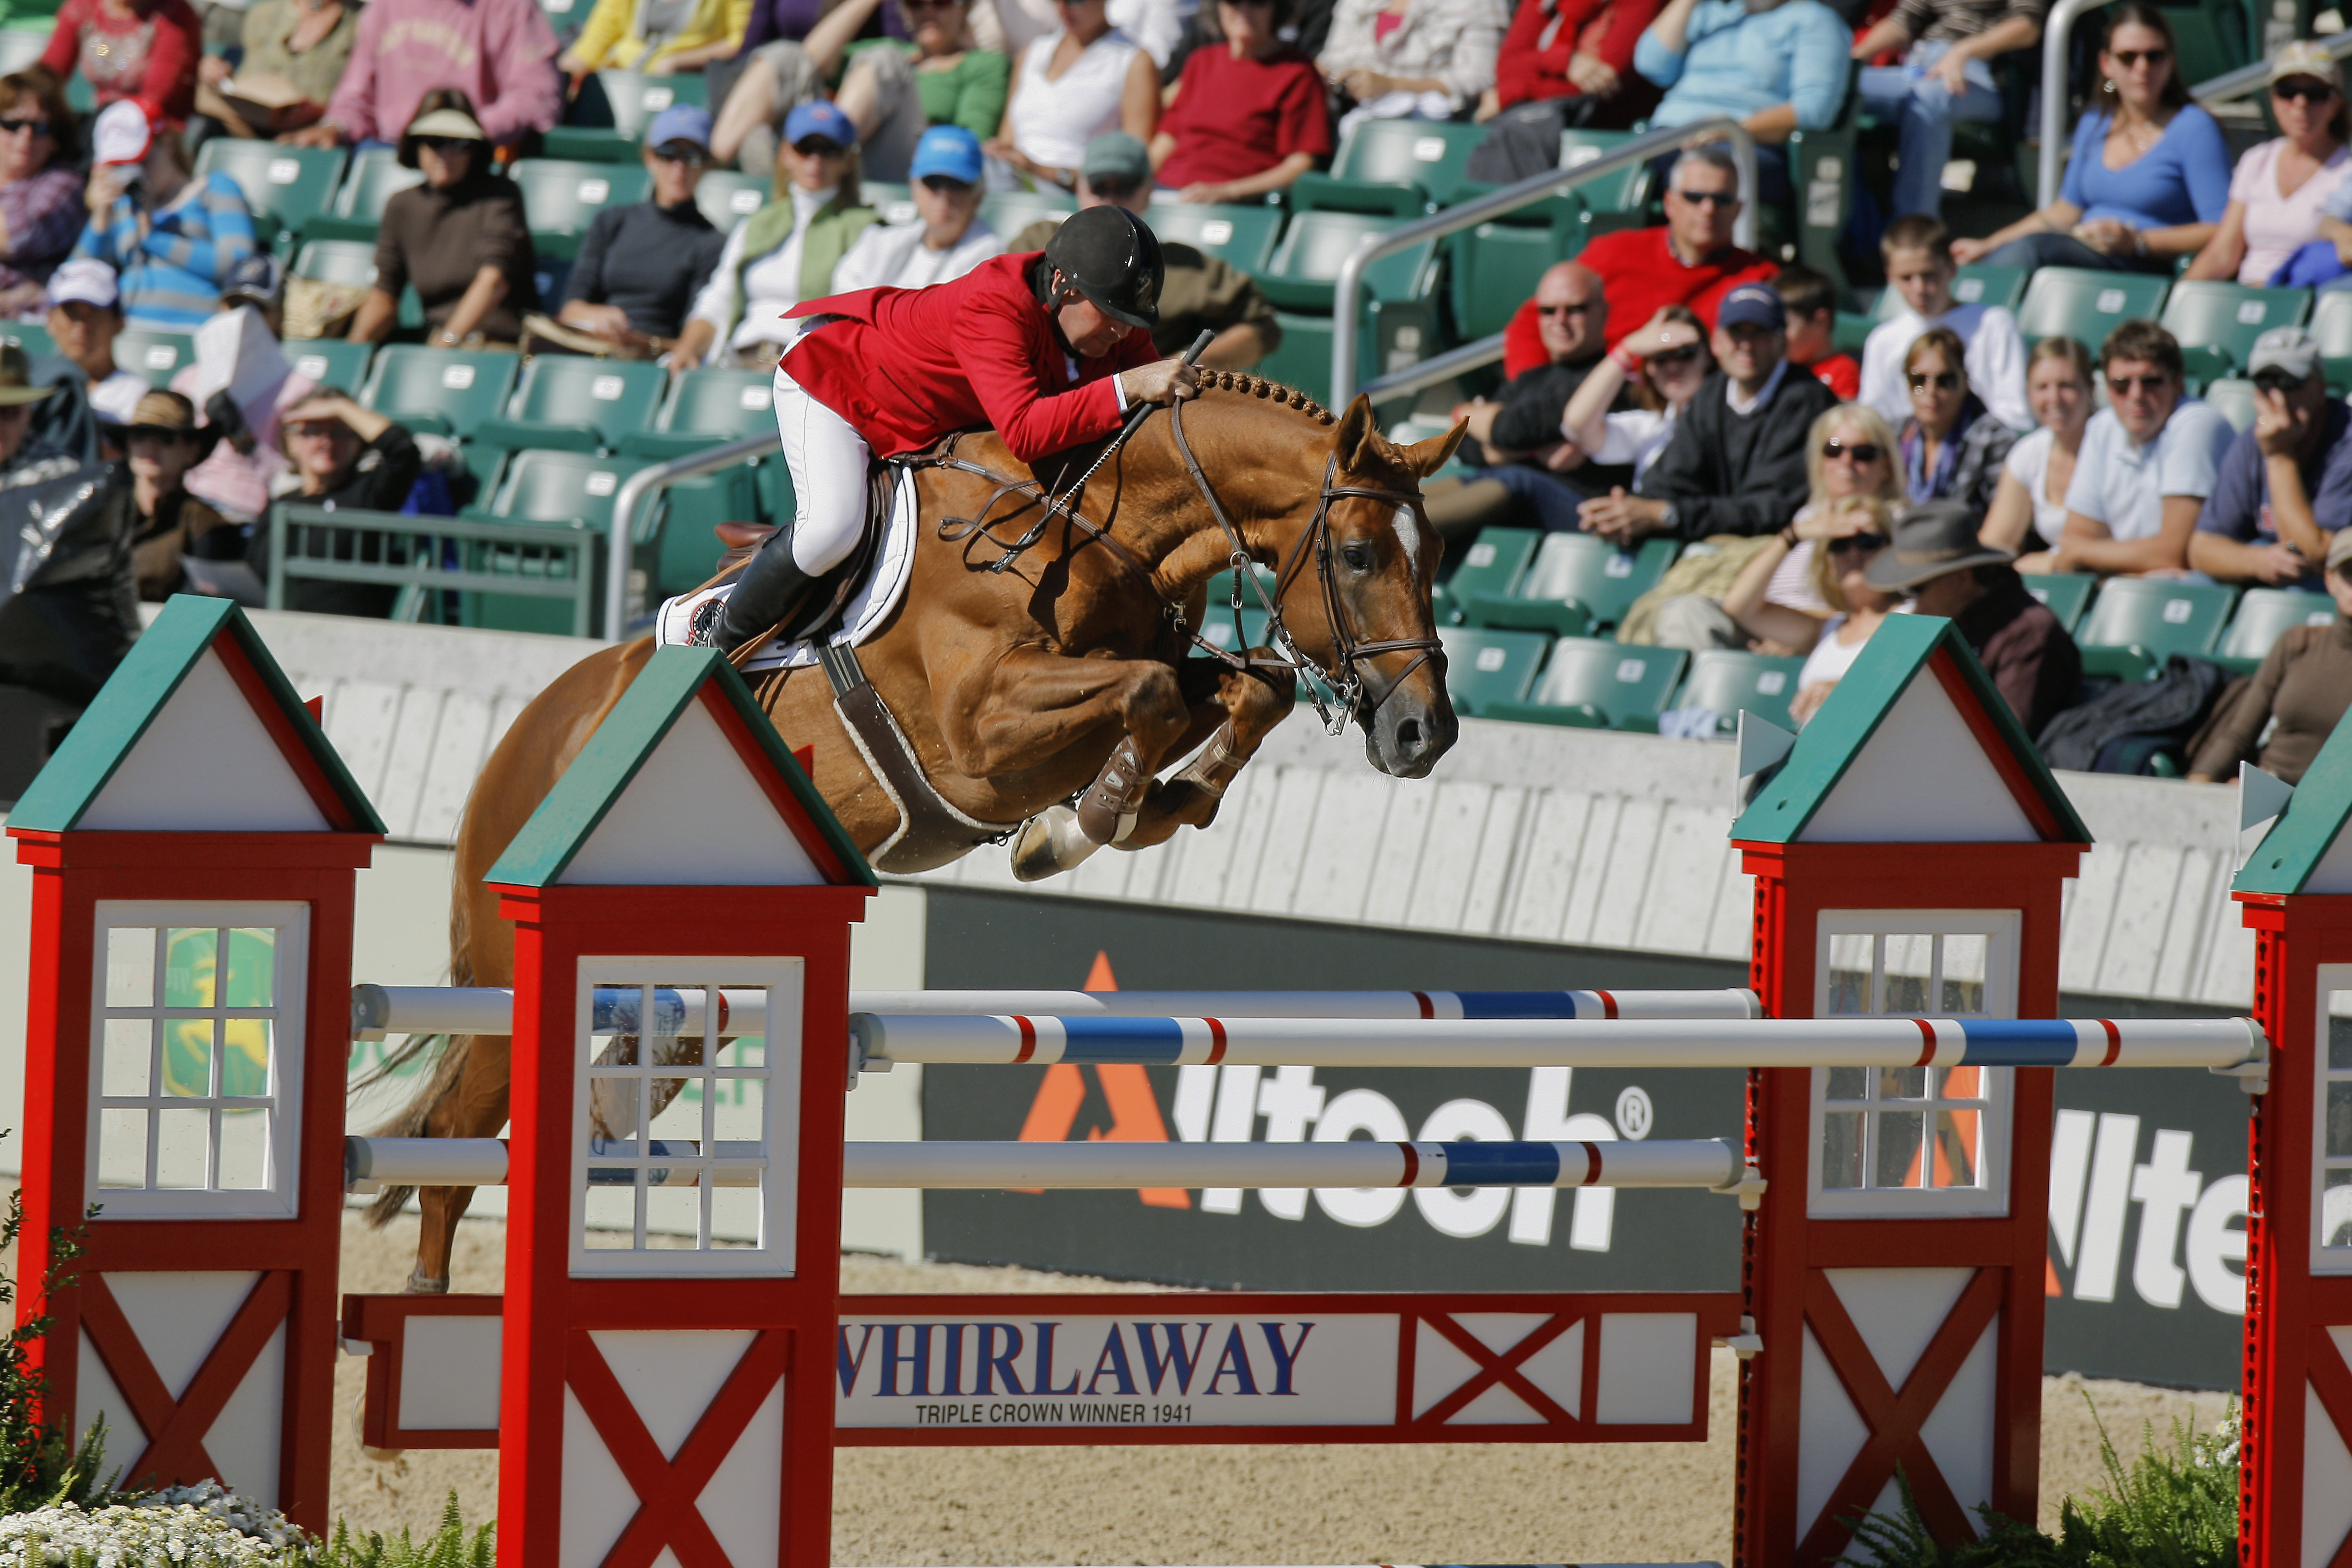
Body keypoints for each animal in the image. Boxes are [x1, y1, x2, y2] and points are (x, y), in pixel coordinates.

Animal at [369, 380, 1458, 1288]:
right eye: (1360, 555)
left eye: (1440, 558)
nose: (1426, 734)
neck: (1092, 529)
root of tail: (524, 735)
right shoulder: (983, 728)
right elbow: (1152, 691)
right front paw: (1078, 827)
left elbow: (1246, 690)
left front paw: (1137, 808)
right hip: (514, 977)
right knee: (456, 1146)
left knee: (609, 1103)